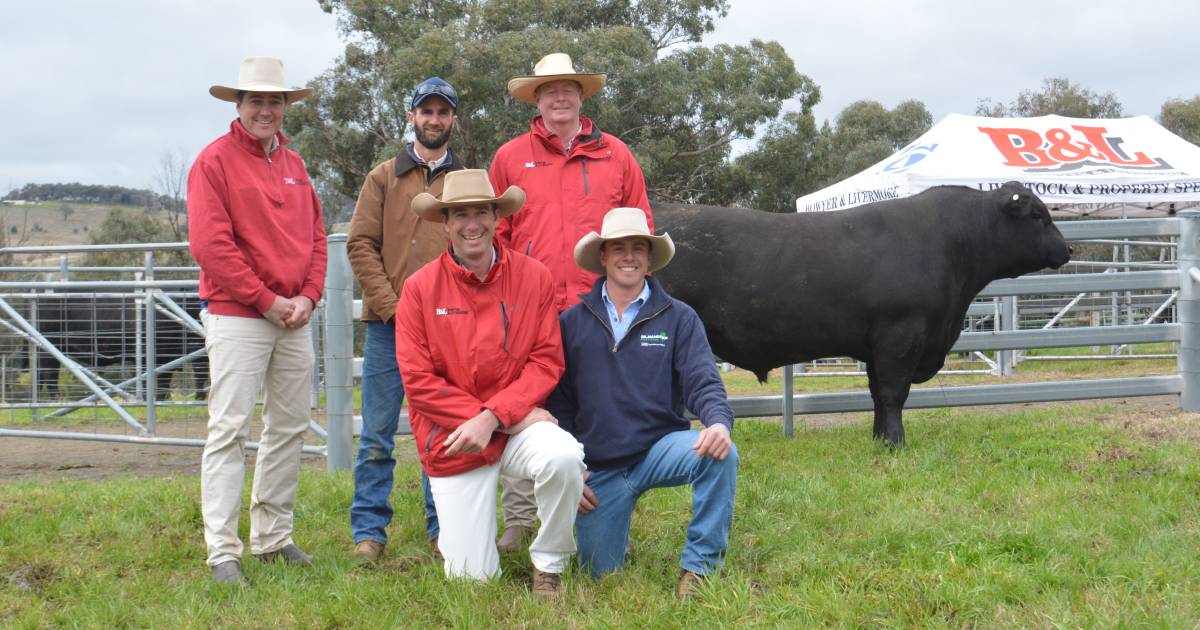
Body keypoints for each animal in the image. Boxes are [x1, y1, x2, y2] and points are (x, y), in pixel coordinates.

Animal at [652, 178, 1075, 444]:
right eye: (1037, 215)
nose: (1068, 248)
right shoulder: (901, 334)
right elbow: (893, 392)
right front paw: (896, 443)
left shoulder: (877, 344)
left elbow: (876, 394)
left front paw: (878, 438)